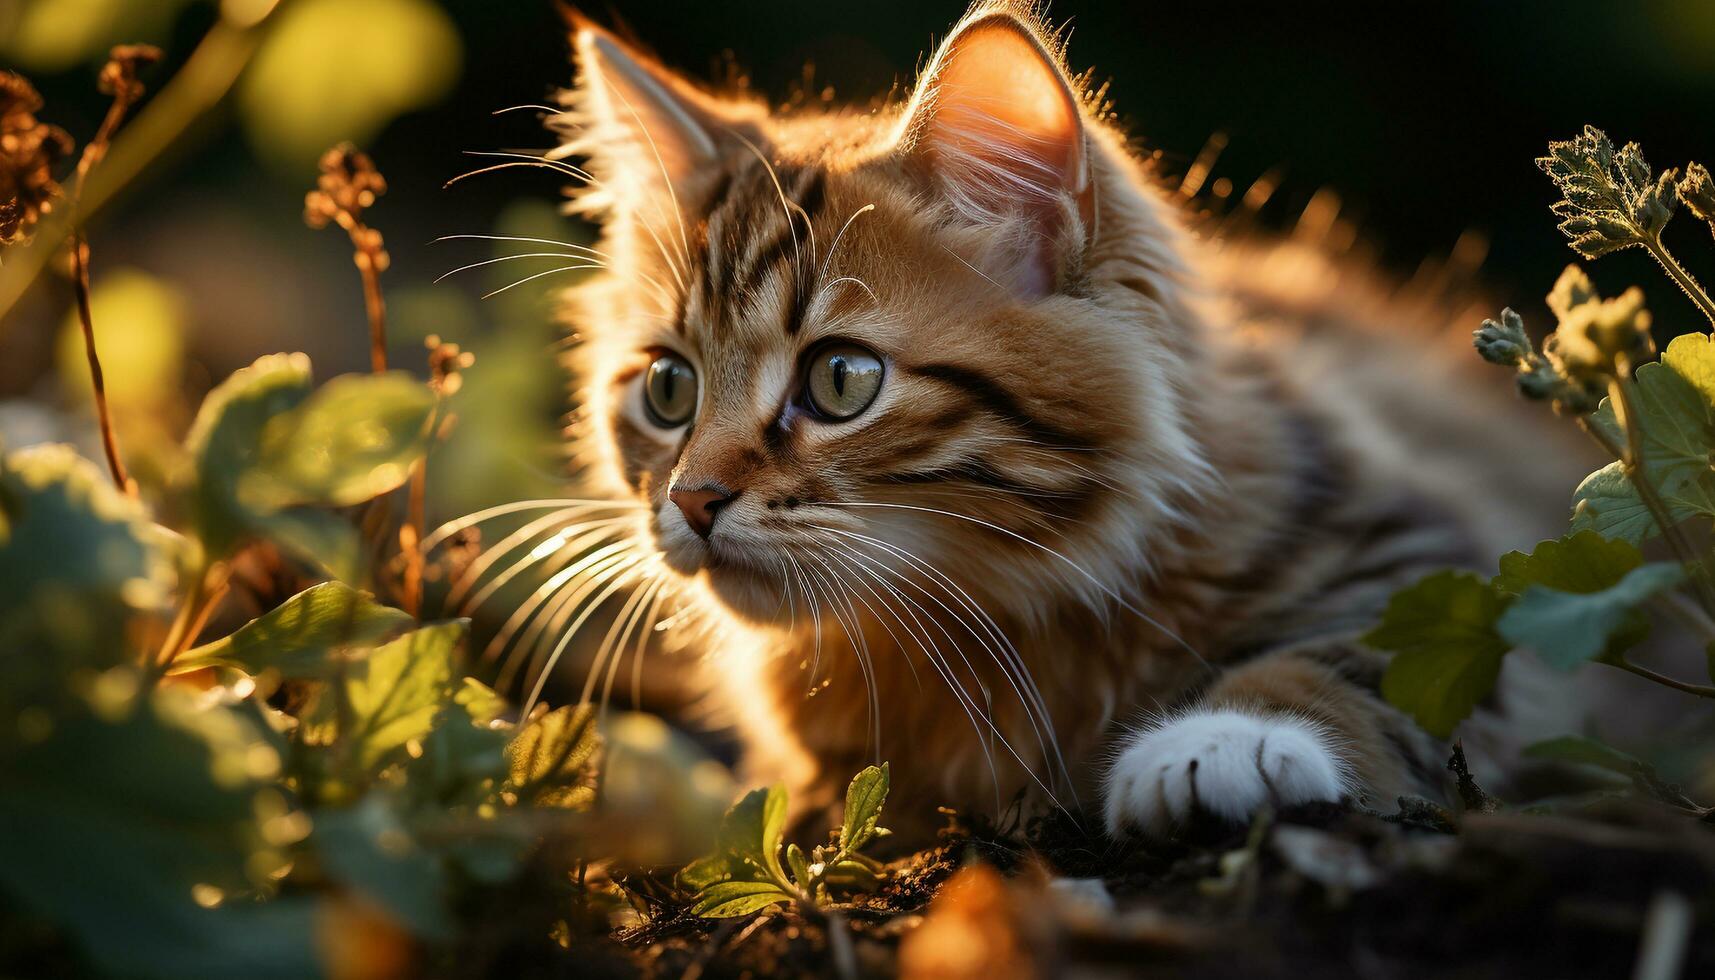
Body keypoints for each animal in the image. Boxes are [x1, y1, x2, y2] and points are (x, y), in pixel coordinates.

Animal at [541, 3, 1584, 840]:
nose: (690, 500)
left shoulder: (1443, 569)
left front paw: (1226, 738)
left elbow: (1353, 664)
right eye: (668, 390)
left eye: (841, 380)